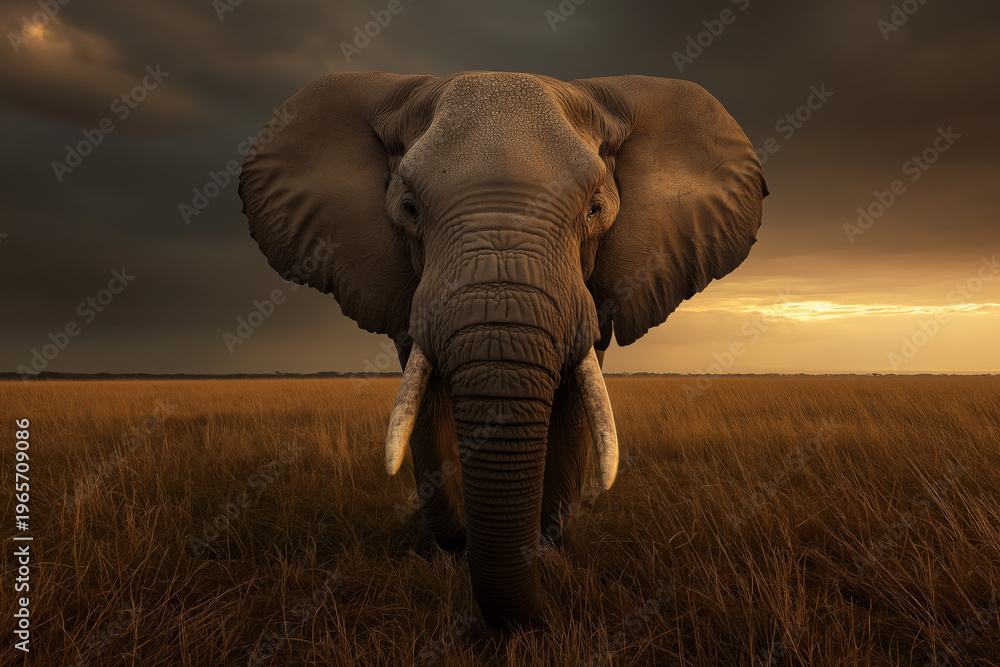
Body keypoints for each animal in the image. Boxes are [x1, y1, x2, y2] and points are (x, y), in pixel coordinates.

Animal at [238, 71, 767, 629]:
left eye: (595, 210)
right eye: (408, 210)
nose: (540, 610)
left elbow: (575, 399)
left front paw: (551, 554)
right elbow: (424, 397)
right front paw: (450, 551)